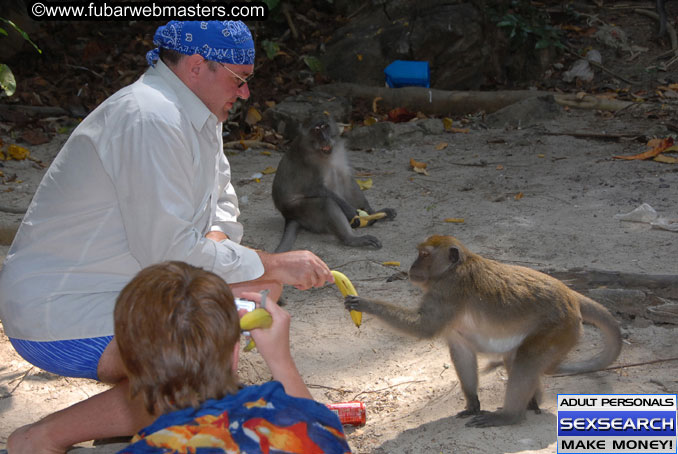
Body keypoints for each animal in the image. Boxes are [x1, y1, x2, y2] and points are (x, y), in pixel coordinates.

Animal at [272, 117, 398, 252]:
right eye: (316, 130)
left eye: (325, 127)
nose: (325, 138)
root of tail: (289, 216)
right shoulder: (307, 161)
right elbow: (315, 188)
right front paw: (352, 212)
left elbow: (346, 178)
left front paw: (370, 211)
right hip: (300, 210)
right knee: (326, 203)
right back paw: (352, 238)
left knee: (337, 176)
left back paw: (373, 218)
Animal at [348, 236, 624, 428]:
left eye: (424, 254)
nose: (413, 266)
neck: (454, 268)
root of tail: (570, 294)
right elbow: (462, 353)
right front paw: (472, 402)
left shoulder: (448, 291)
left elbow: (423, 328)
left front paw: (364, 303)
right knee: (515, 358)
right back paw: (532, 401)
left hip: (559, 329)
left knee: (526, 359)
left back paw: (511, 416)